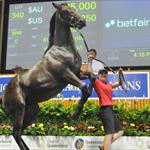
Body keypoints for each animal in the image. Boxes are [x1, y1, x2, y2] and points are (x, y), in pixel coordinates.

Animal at [1, 2, 92, 150]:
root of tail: (5, 92)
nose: (82, 22)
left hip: (32, 111)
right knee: (16, 133)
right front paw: (75, 113)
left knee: (19, 133)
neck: (63, 49)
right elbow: (85, 87)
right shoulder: (66, 75)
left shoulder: (77, 73)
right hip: (20, 109)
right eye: (66, 11)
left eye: (73, 7)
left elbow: (92, 77)